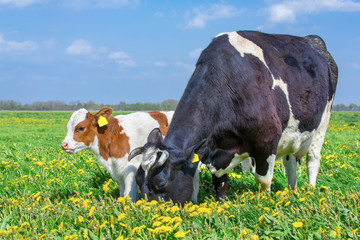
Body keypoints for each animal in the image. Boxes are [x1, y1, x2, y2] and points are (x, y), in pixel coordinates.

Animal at [129, 30, 338, 204]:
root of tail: (313, 40)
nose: (145, 212)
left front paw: (265, 203)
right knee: (290, 163)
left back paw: (310, 190)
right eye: (138, 181)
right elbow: (219, 181)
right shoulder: (216, 150)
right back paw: (291, 190)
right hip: (293, 134)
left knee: (313, 160)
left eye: (161, 184)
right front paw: (221, 204)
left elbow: (263, 181)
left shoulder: (267, 141)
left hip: (323, 122)